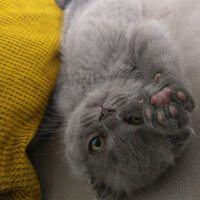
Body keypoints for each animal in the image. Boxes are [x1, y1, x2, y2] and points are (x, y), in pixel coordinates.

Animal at [29, 0, 195, 200]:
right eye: (96, 143)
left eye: (135, 119)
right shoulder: (62, 93)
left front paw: (164, 101)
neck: (96, 84)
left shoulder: (142, 34)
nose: (106, 113)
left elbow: (160, 62)